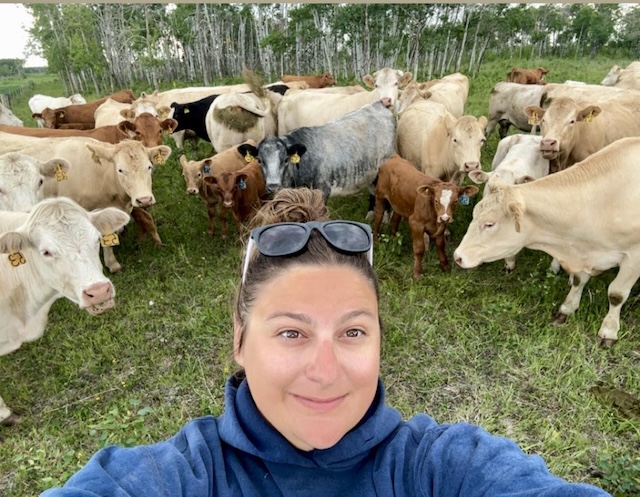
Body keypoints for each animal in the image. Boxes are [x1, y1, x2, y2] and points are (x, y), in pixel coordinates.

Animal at [454, 137, 640, 347]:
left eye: (489, 224)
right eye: (475, 213)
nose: (457, 256)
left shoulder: (633, 257)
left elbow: (616, 294)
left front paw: (608, 331)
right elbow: (579, 280)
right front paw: (567, 308)